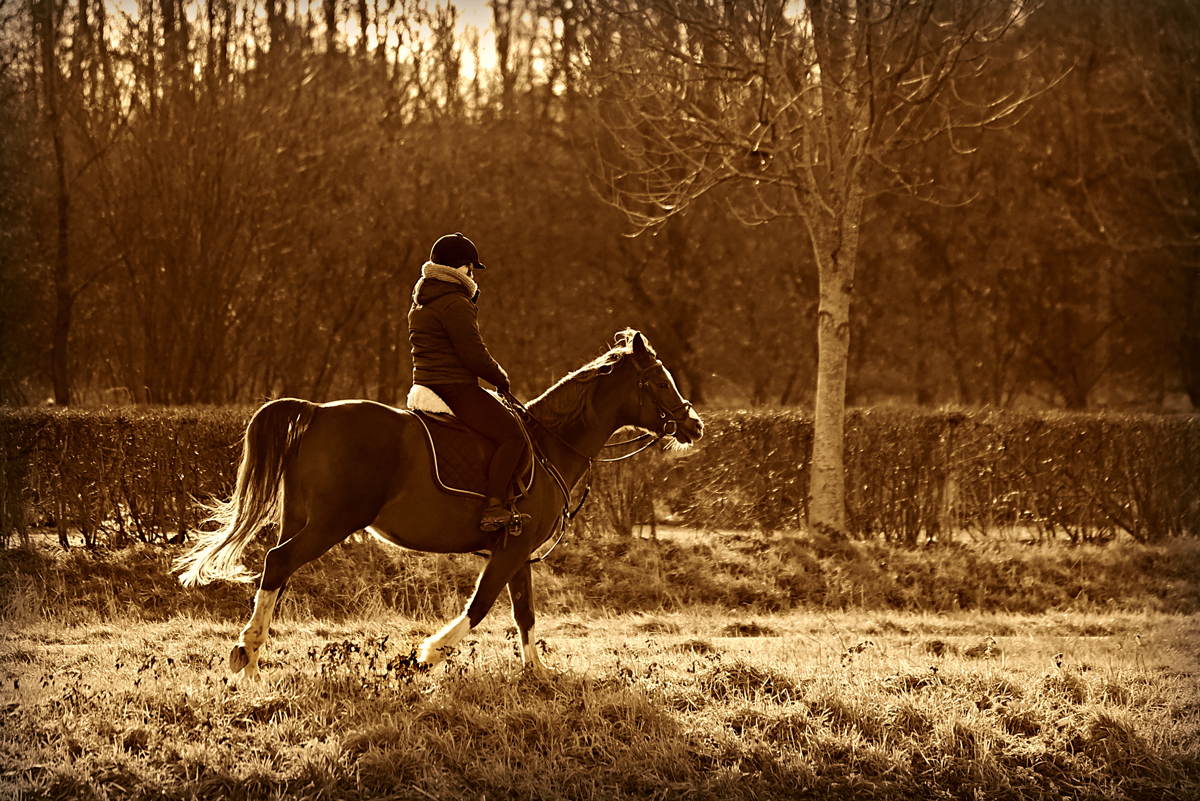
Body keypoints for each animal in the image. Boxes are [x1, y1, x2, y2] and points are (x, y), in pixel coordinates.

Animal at [175, 328, 700, 681]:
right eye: (659, 380)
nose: (694, 425)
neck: (551, 444)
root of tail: (318, 411)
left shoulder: (518, 550)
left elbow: (524, 613)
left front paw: (536, 675)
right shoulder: (509, 551)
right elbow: (482, 605)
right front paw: (427, 654)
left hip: (301, 519)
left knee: (276, 573)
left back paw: (250, 652)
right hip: (330, 524)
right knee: (277, 562)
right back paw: (248, 654)